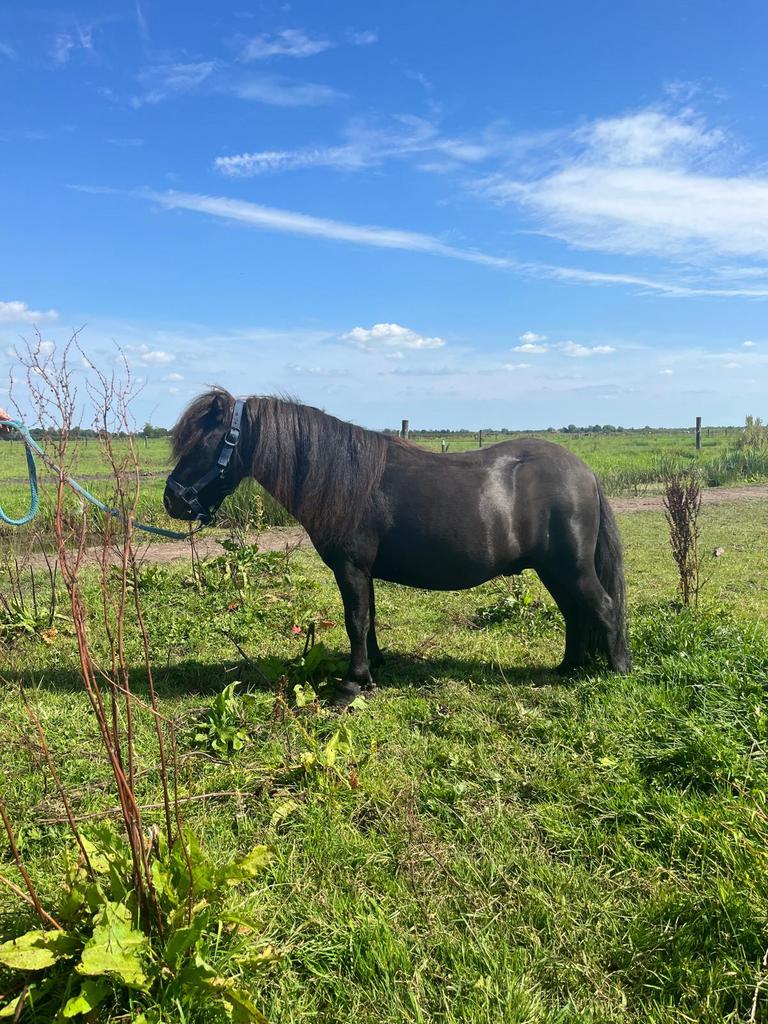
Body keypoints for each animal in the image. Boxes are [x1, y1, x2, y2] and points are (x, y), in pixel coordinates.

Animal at [164, 389, 631, 704]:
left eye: (204, 443)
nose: (173, 500)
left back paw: (619, 671)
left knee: (604, 609)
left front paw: (351, 685)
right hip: (554, 571)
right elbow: (368, 620)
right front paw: (372, 671)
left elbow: (355, 621)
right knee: (575, 614)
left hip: (572, 569)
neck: (344, 477)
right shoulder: (362, 572)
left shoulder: (350, 568)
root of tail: (584, 472)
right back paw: (567, 668)